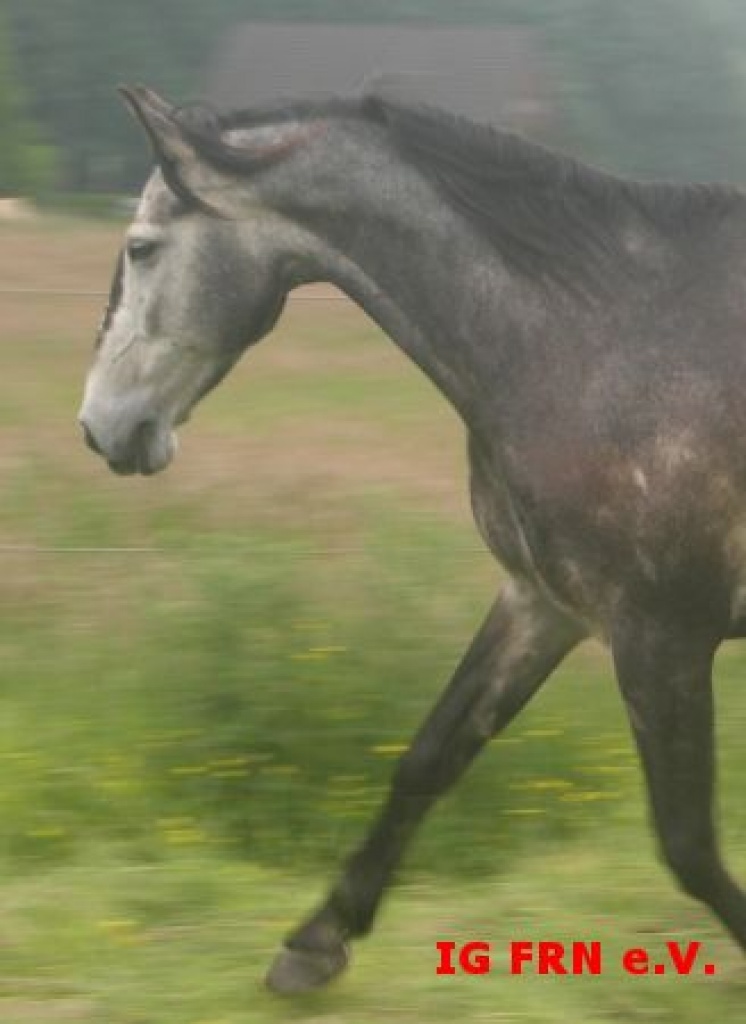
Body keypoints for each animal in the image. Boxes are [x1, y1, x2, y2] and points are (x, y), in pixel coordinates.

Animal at [79, 85, 746, 994]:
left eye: (141, 247)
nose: (100, 427)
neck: (595, 340)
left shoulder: (663, 634)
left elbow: (689, 845)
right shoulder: (543, 605)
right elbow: (431, 756)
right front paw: (313, 944)